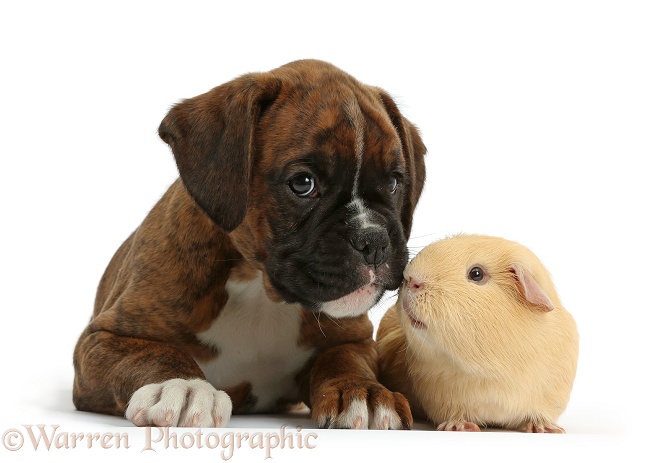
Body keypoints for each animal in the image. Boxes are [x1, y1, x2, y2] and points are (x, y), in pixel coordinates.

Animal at [71, 59, 426, 432]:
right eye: (303, 183)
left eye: (394, 182)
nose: (373, 239)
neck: (259, 290)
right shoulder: (101, 339)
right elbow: (153, 353)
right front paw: (181, 385)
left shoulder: (354, 339)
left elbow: (343, 359)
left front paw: (362, 391)